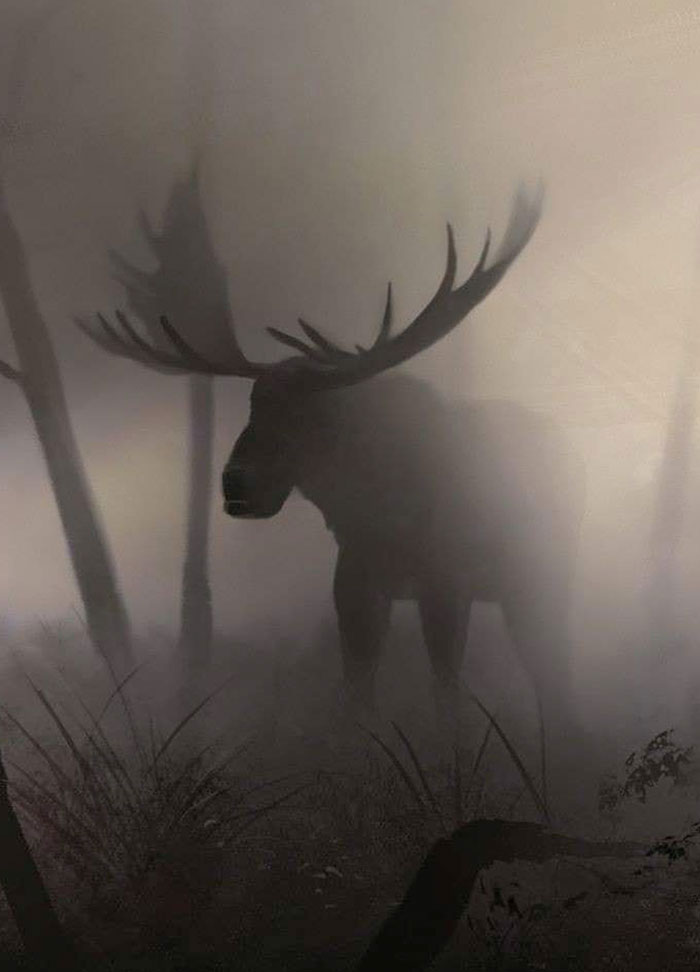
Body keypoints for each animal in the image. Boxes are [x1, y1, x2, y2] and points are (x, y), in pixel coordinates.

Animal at [77, 184, 589, 794]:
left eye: (312, 415)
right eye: (252, 406)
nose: (236, 483)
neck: (377, 514)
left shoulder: (447, 581)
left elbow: (447, 695)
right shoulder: (354, 583)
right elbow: (357, 695)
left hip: (542, 576)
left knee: (553, 671)